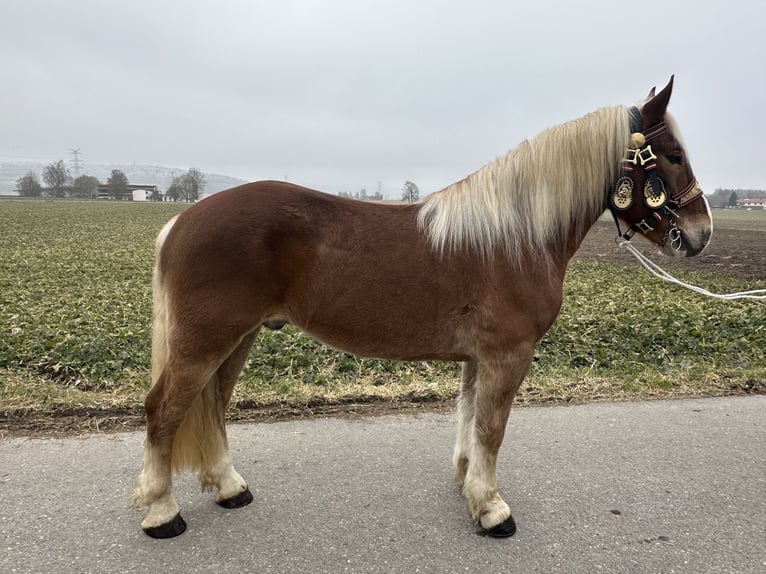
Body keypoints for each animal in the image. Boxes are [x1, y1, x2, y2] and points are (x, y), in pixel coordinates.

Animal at [130, 79, 712, 544]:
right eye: (673, 155)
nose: (701, 234)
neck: (517, 236)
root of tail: (181, 220)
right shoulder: (508, 353)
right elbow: (492, 427)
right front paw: (492, 510)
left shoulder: (480, 357)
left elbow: (470, 416)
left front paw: (469, 485)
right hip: (205, 341)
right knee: (164, 411)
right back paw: (162, 512)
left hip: (237, 339)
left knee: (213, 406)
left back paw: (229, 488)